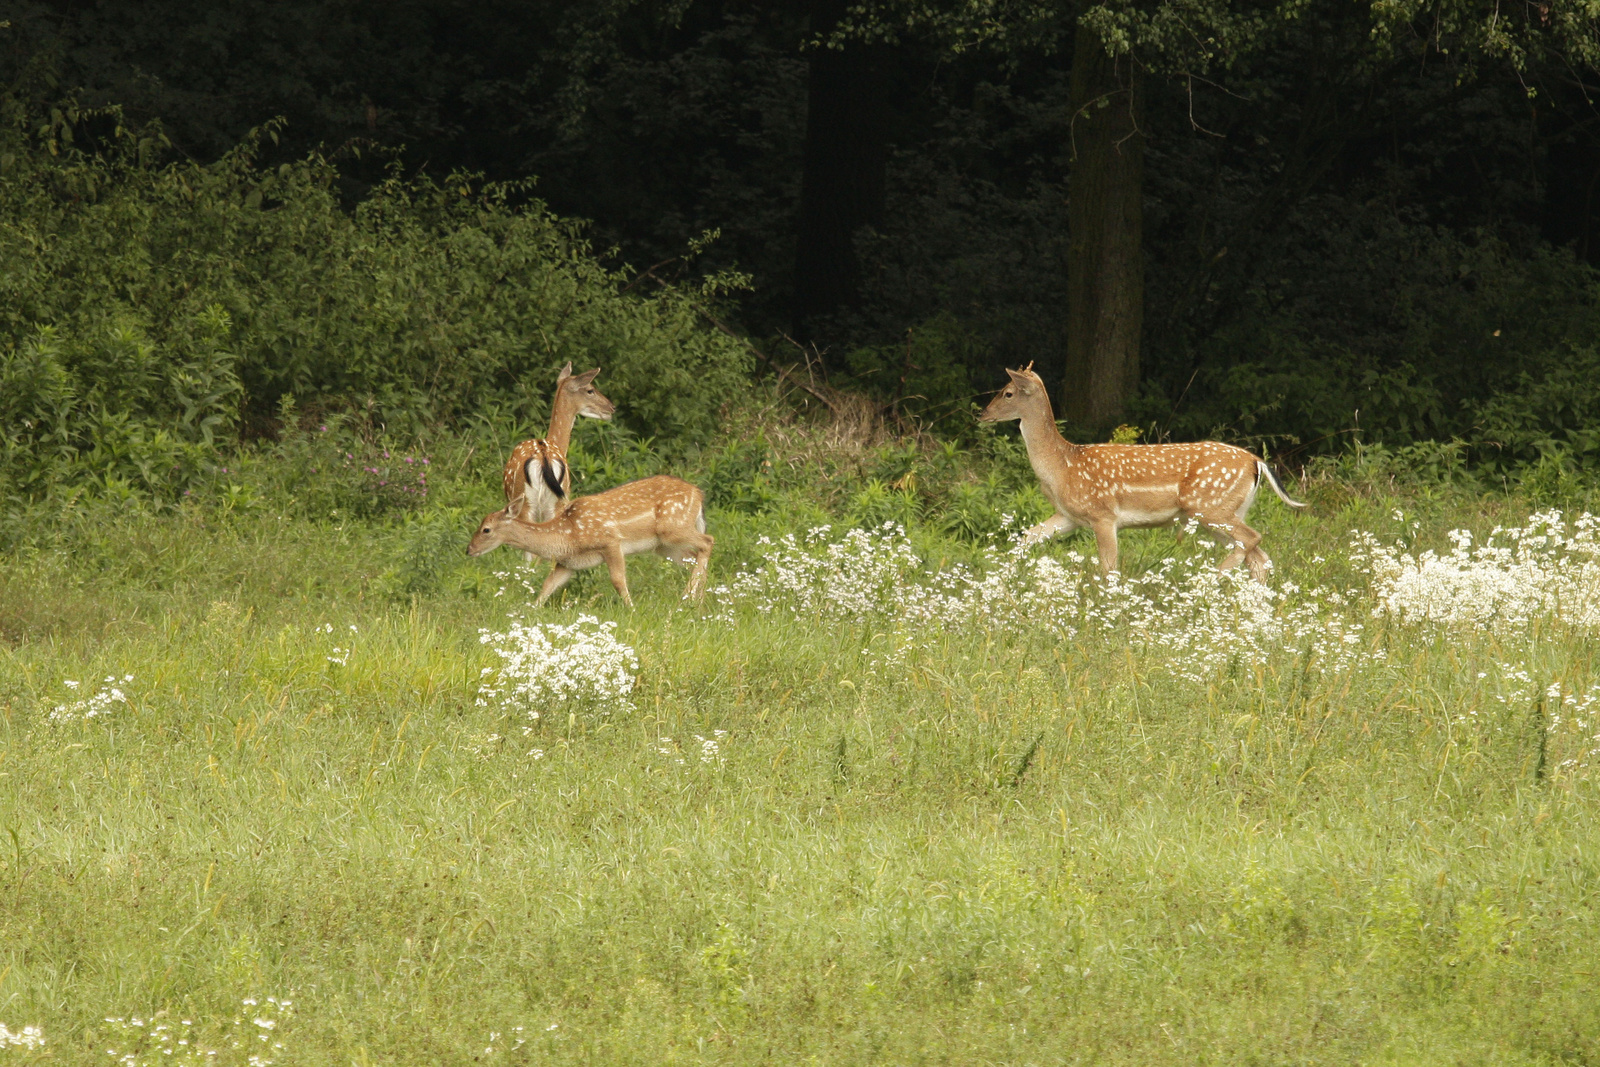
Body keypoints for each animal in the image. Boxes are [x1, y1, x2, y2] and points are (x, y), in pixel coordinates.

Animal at [464, 476, 713, 607]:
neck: (567, 535)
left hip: (672, 527)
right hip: (664, 546)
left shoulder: (610, 541)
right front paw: (531, 611)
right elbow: (547, 586)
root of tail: (698, 494)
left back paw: (688, 596)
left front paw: (631, 608)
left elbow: (618, 580)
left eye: (486, 529)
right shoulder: (568, 563)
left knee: (708, 541)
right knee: (694, 556)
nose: (469, 550)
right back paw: (699, 599)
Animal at [972, 367, 1312, 585]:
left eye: (1008, 393)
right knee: (1258, 555)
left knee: (1253, 539)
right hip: (1223, 512)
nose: (981, 414)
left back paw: (1208, 583)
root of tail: (1257, 461)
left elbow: (1109, 569)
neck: (1062, 467)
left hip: (1210, 506)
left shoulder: (1103, 514)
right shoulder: (1070, 516)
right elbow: (1027, 536)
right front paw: (1000, 582)